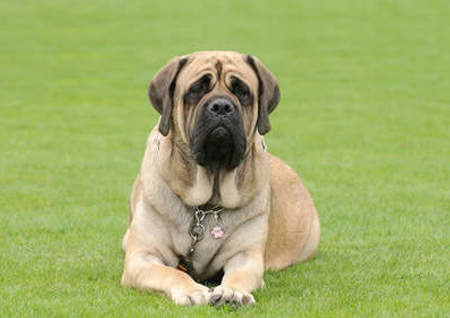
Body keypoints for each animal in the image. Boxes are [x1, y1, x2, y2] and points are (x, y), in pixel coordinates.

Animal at [121, 51, 320, 306]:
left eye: (242, 91)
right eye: (196, 89)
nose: (222, 106)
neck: (207, 203)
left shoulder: (246, 257)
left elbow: (239, 274)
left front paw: (232, 292)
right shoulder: (142, 258)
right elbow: (171, 272)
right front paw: (191, 290)